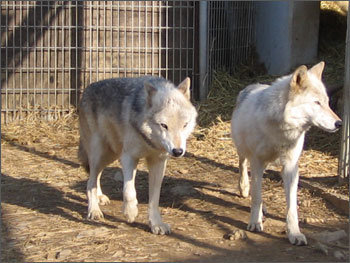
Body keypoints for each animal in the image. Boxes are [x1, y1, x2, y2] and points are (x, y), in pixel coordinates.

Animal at [78, 76, 197, 235]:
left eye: (185, 125)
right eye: (164, 125)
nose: (177, 151)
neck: (149, 140)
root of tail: (87, 89)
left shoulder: (158, 162)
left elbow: (154, 199)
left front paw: (156, 224)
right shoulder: (129, 157)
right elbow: (129, 191)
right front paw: (130, 212)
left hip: (110, 155)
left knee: (95, 175)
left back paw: (99, 197)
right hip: (100, 153)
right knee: (90, 182)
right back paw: (94, 210)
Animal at [231, 62, 344, 248]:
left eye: (327, 103)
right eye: (317, 103)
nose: (340, 123)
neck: (281, 130)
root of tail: (252, 85)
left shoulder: (291, 167)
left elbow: (292, 207)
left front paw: (294, 233)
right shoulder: (257, 162)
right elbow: (257, 196)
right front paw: (255, 222)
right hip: (243, 149)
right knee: (242, 165)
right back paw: (245, 188)